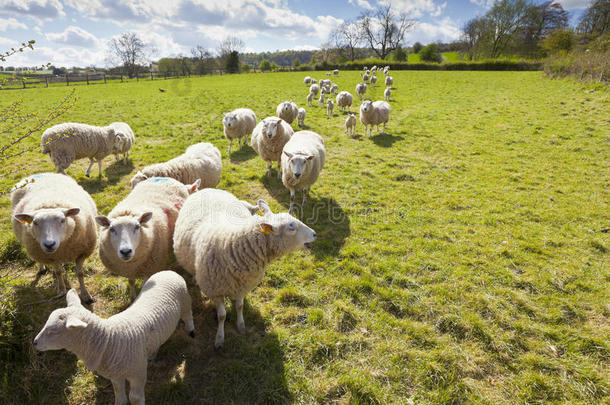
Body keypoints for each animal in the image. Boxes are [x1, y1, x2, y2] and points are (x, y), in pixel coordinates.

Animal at [11, 172, 97, 302]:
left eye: (62, 220)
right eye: (35, 222)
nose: (49, 244)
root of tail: (40, 173)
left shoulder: (82, 252)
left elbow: (80, 273)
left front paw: (86, 295)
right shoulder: (52, 257)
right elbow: (58, 272)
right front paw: (61, 290)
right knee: (42, 262)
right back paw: (42, 269)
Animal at [32, 270, 192, 404]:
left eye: (53, 331)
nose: (35, 343)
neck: (109, 339)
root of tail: (167, 271)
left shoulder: (138, 372)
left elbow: (134, 398)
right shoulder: (116, 374)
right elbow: (119, 393)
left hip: (185, 302)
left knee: (188, 316)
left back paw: (191, 331)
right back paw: (153, 354)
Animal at [171, 189, 314, 348]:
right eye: (291, 226)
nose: (314, 234)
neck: (232, 246)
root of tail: (208, 189)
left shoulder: (241, 286)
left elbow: (239, 307)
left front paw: (241, 326)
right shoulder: (215, 291)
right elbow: (222, 316)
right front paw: (219, 338)